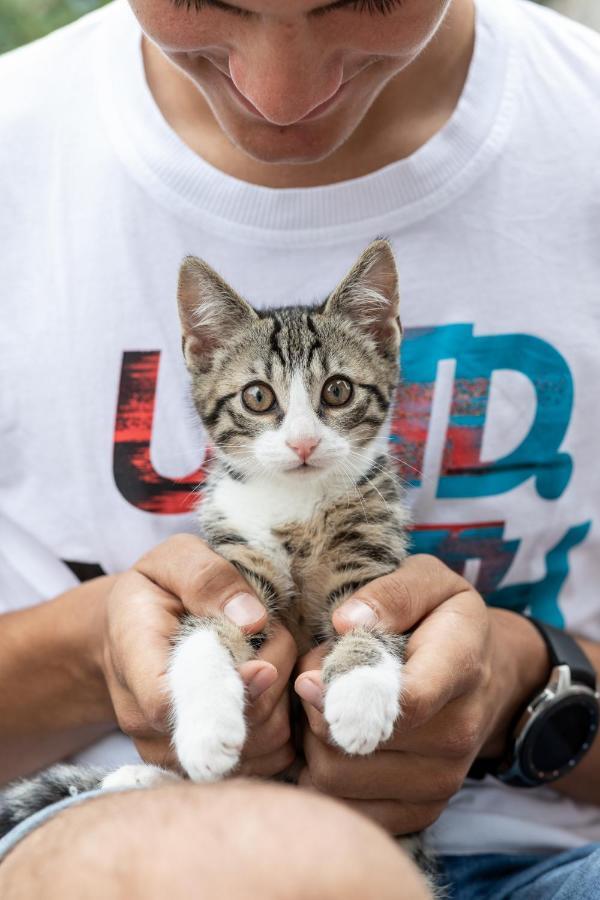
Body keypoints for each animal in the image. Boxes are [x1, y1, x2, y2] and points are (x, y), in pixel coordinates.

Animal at [0, 239, 412, 824]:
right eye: (258, 397)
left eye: (337, 390)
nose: (304, 443)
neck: (297, 505)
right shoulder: (237, 560)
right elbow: (205, 631)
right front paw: (205, 730)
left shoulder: (371, 549)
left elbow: (368, 617)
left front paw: (359, 693)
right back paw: (142, 779)